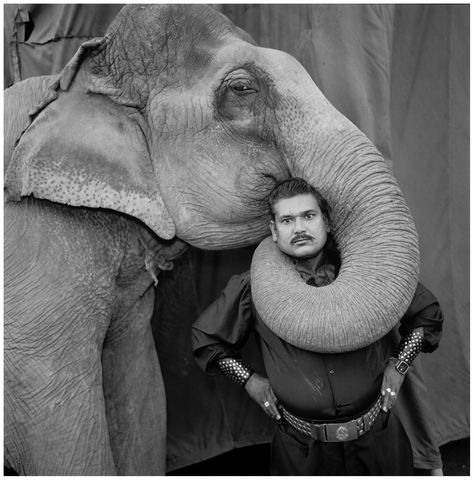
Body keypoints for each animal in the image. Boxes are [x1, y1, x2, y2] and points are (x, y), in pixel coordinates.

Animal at [3, 2, 418, 476]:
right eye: (241, 88)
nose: (292, 231)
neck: (70, 83)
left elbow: (143, 393)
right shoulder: (33, 284)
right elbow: (60, 434)